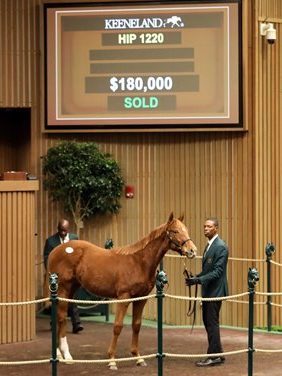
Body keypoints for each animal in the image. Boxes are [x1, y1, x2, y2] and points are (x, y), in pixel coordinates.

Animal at [46, 213, 196, 368]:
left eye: (185, 230)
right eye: (175, 231)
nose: (192, 250)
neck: (139, 262)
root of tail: (55, 251)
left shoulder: (141, 299)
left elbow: (136, 325)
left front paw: (138, 357)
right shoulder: (124, 297)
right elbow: (117, 326)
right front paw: (112, 359)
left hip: (70, 289)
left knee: (58, 317)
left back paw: (59, 354)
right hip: (63, 289)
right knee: (62, 318)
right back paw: (67, 355)